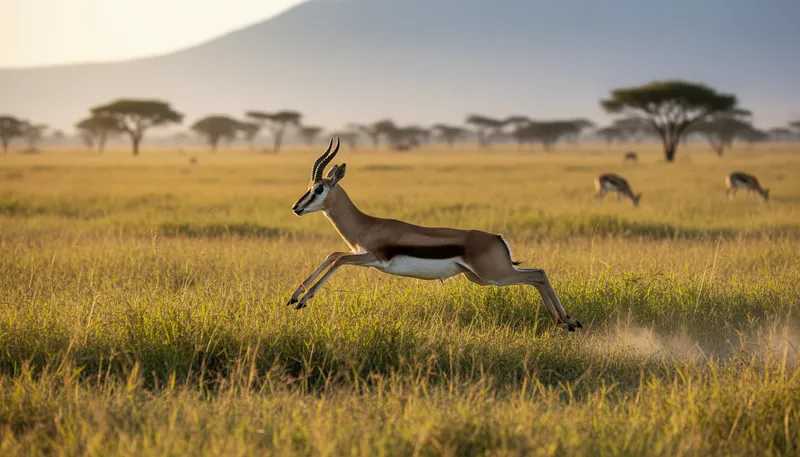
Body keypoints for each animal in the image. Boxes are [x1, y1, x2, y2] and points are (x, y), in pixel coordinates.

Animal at [287, 138, 582, 331]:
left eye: (319, 189)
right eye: (309, 187)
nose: (296, 208)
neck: (367, 225)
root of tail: (498, 238)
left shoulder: (371, 258)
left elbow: (338, 259)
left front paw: (303, 300)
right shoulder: (360, 254)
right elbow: (332, 255)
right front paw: (292, 297)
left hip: (494, 276)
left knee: (539, 274)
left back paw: (568, 321)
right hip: (480, 277)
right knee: (537, 276)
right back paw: (564, 322)